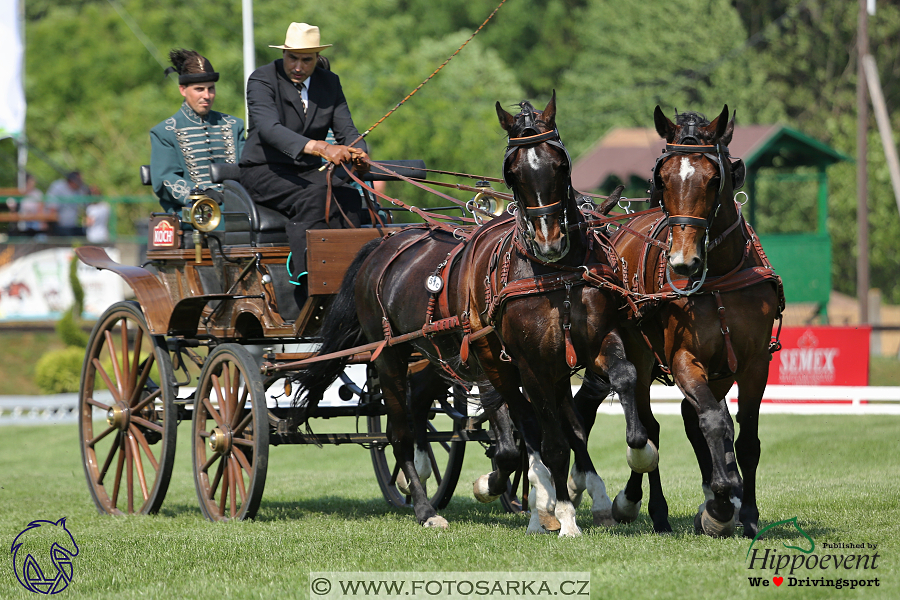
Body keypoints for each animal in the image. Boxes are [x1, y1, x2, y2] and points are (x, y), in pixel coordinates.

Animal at [294, 92, 652, 536]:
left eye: (560, 163)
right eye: (511, 172)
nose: (549, 241)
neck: (554, 274)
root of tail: (383, 244)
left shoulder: (590, 344)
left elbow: (612, 391)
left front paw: (622, 470)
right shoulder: (526, 363)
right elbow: (547, 438)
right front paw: (561, 512)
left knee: (430, 410)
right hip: (394, 356)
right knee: (401, 431)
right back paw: (427, 508)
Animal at [576, 105, 780, 536]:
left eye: (715, 178)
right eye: (662, 178)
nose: (683, 262)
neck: (719, 276)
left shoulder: (755, 363)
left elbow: (744, 438)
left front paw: (744, 512)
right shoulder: (684, 357)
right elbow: (714, 421)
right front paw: (720, 500)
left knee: (690, 418)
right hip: (636, 354)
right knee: (649, 425)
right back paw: (645, 506)